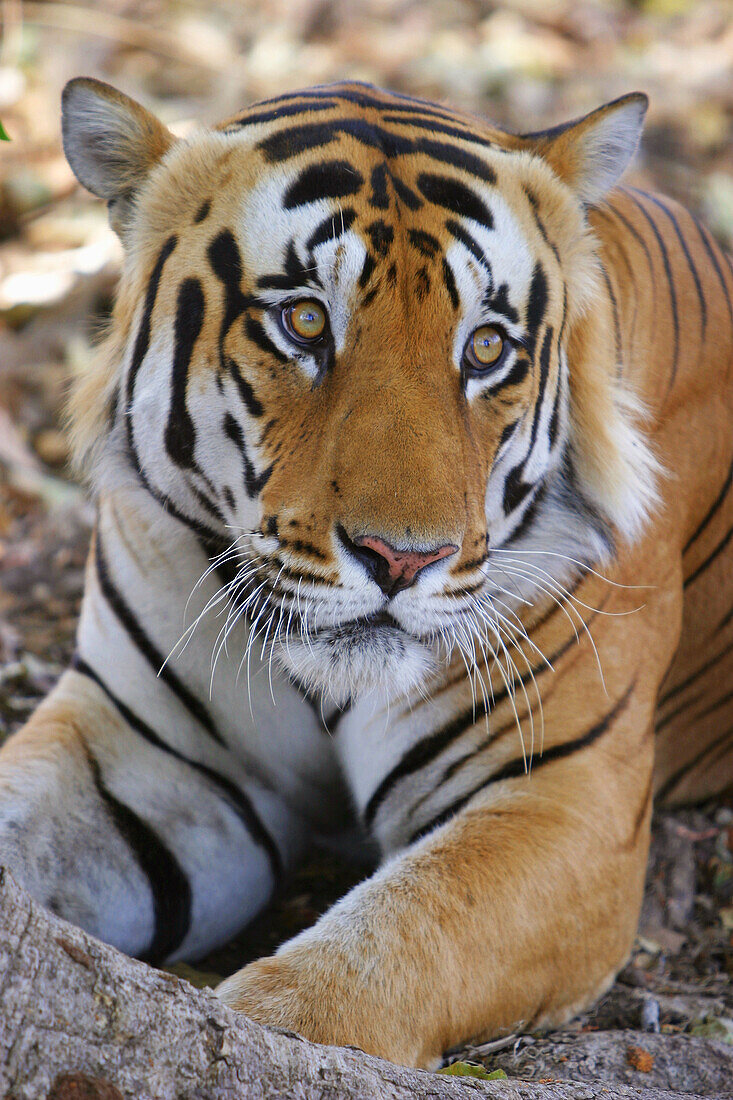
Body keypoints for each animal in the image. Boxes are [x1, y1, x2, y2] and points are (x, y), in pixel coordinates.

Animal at [0, 75, 726, 1064]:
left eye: (486, 347)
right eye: (304, 320)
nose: (402, 558)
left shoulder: (565, 797)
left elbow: (391, 942)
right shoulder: (142, 748)